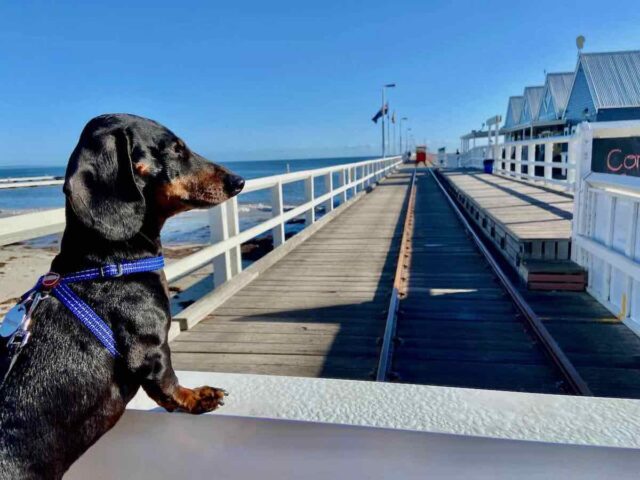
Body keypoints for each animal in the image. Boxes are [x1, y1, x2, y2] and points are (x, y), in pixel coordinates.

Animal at [0, 114, 245, 478]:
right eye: (176, 149)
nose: (238, 181)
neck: (109, 263)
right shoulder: (150, 348)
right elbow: (168, 385)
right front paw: (198, 397)